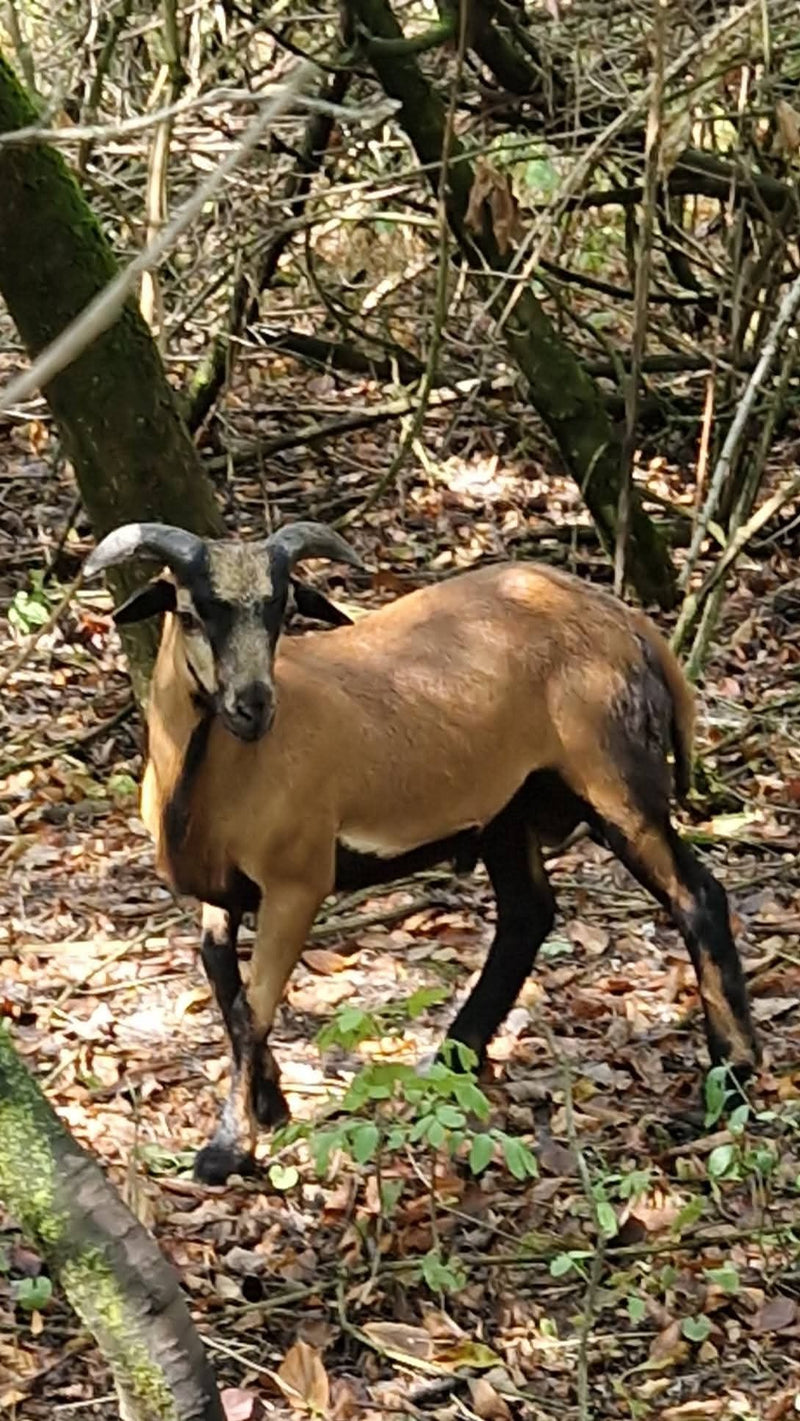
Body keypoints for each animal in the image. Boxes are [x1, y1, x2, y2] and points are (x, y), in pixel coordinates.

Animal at [84, 520, 759, 1184]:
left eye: (281, 612)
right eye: (191, 613)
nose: (253, 704)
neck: (210, 778)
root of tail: (631, 623)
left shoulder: (298, 881)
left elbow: (254, 1007)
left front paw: (228, 1148)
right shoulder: (222, 890)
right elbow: (224, 985)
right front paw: (269, 1106)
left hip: (615, 780)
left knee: (696, 897)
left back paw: (734, 1077)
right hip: (508, 807)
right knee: (527, 915)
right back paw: (452, 1060)